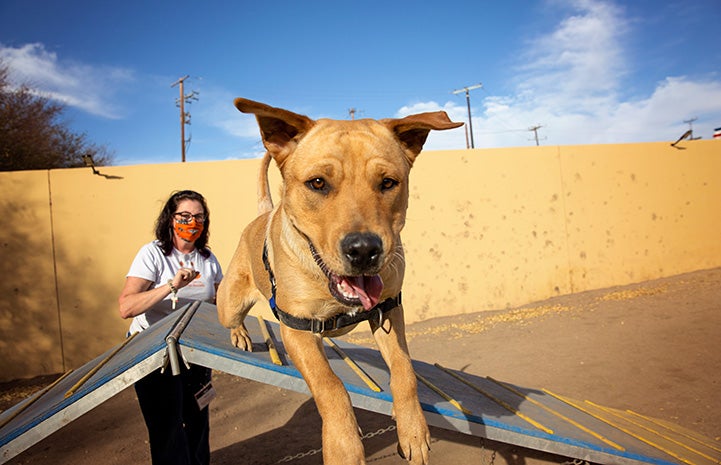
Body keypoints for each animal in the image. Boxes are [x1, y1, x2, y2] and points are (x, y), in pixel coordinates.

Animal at [217, 96, 462, 462]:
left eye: (388, 182)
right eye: (317, 183)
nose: (364, 250)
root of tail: (262, 215)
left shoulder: (388, 312)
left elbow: (405, 372)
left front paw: (413, 430)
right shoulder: (297, 331)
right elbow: (330, 385)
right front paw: (343, 444)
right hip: (229, 304)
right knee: (233, 318)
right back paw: (240, 335)